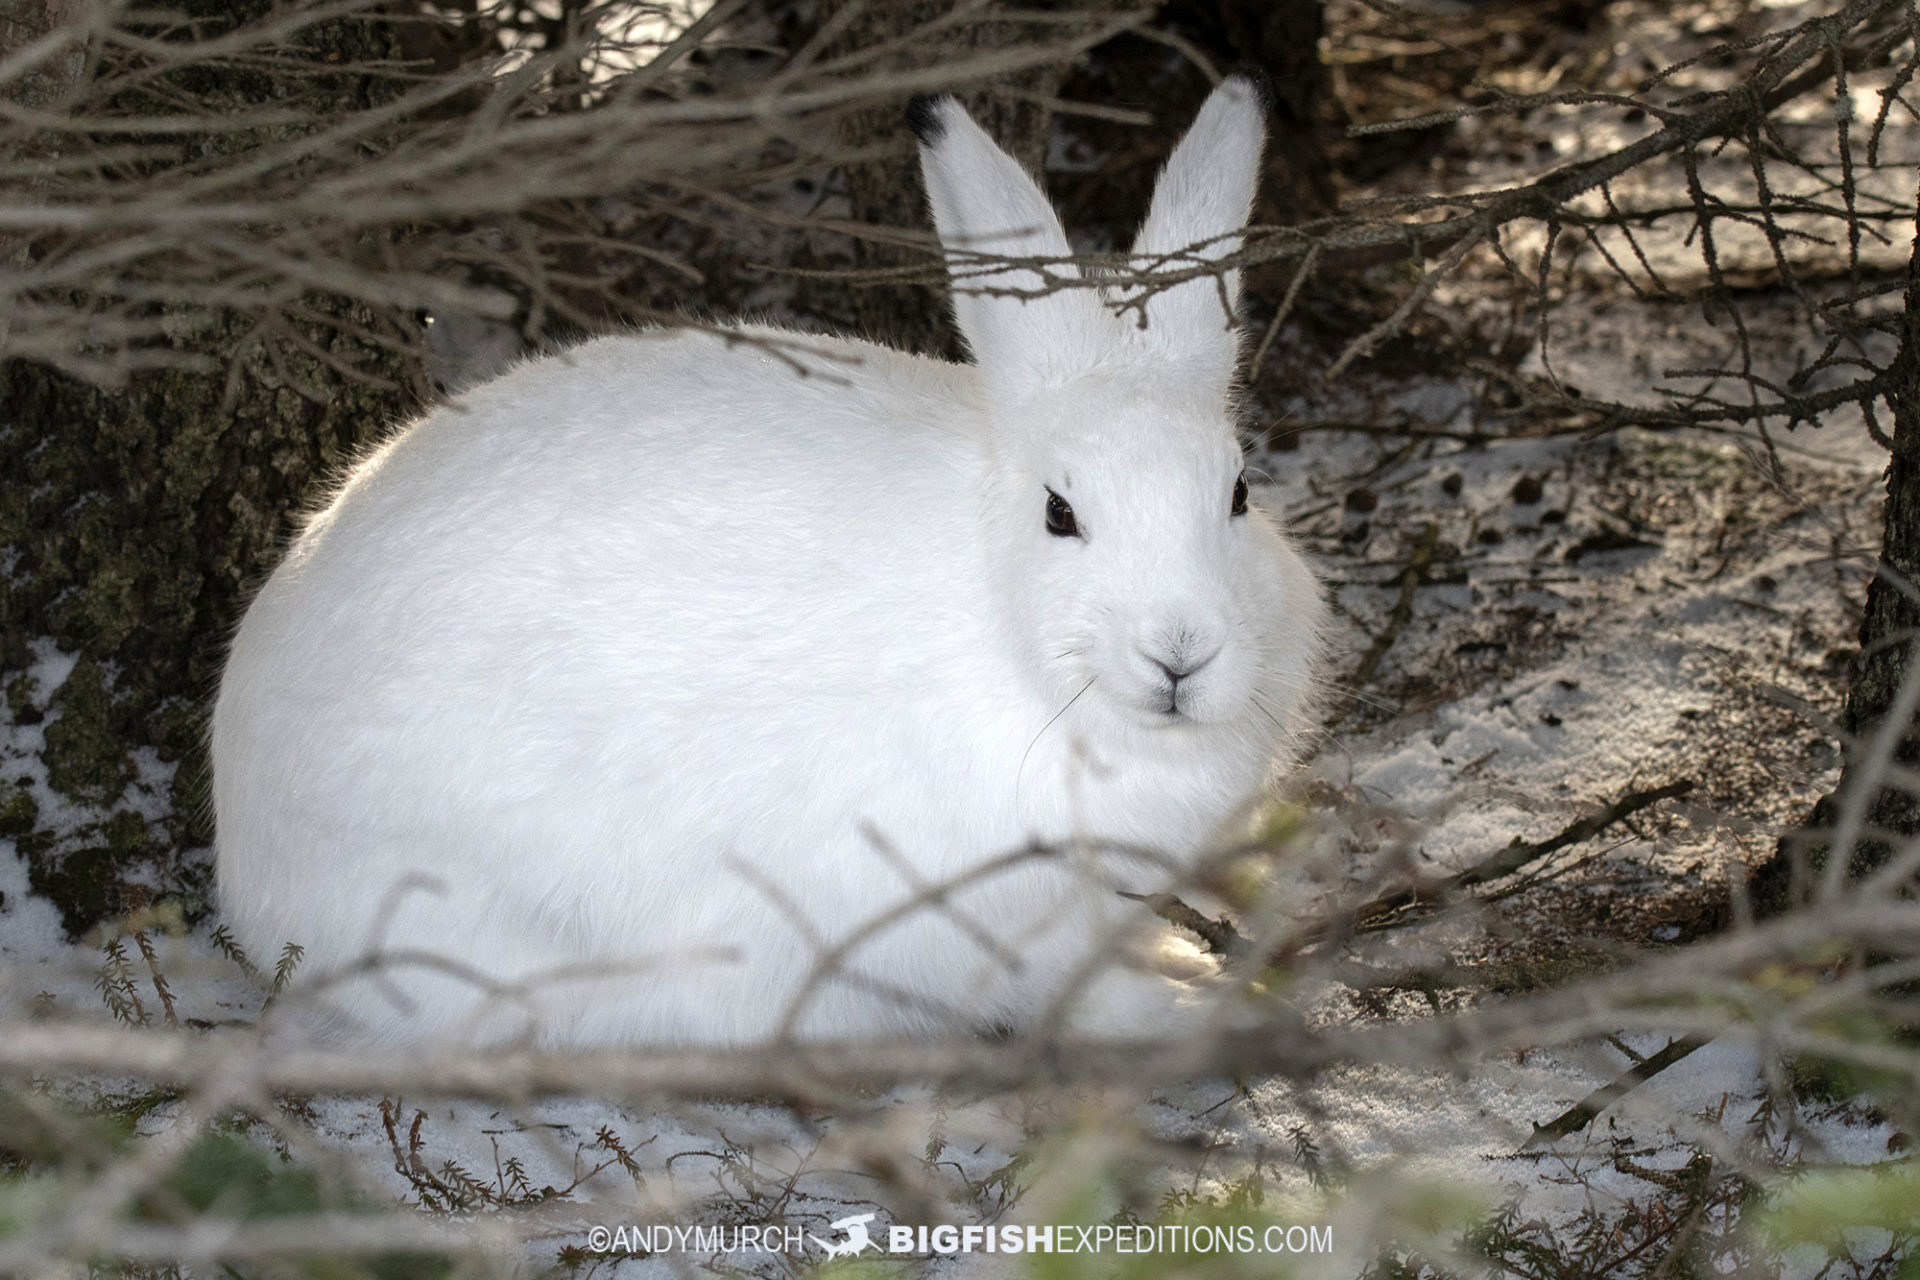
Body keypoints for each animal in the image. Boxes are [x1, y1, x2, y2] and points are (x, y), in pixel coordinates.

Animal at [211, 74, 1326, 1047]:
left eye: (1237, 494)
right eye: (1062, 514)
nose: (1181, 652)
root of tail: (245, 866)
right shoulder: (982, 911)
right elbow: (1072, 989)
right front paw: (1190, 1003)